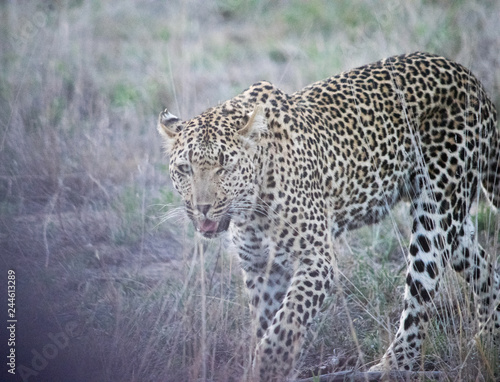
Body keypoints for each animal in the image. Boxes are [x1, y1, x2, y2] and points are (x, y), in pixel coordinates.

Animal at [157, 52, 500, 380]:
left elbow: (285, 325)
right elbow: (268, 324)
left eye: (224, 167)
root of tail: (468, 76)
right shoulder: (262, 268)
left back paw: (388, 368)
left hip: (436, 214)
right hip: (453, 219)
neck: (251, 209)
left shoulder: (316, 259)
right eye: (184, 169)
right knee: (486, 269)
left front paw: (268, 366)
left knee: (420, 296)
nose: (202, 207)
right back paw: (488, 341)